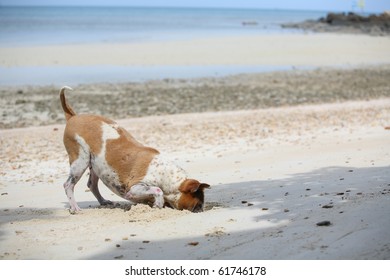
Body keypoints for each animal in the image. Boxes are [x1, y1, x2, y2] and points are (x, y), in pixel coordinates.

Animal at [59, 85, 209, 212]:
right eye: (197, 205)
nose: (201, 211)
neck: (170, 178)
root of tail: (73, 117)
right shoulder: (135, 187)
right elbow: (157, 190)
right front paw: (158, 203)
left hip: (94, 164)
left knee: (92, 185)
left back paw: (104, 202)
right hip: (80, 160)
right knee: (68, 185)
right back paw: (75, 208)